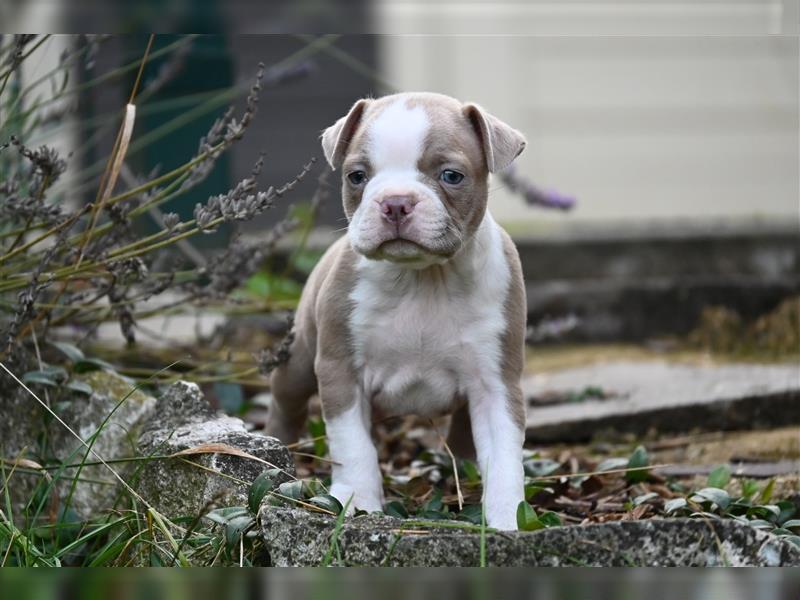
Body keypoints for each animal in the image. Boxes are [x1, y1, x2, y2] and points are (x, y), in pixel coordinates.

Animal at [266, 92, 528, 528]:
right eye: (357, 176)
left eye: (451, 176)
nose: (395, 203)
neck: (422, 279)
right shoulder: (341, 372)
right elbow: (353, 447)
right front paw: (358, 503)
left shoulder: (497, 384)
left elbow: (505, 455)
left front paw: (508, 519)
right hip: (298, 362)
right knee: (287, 405)